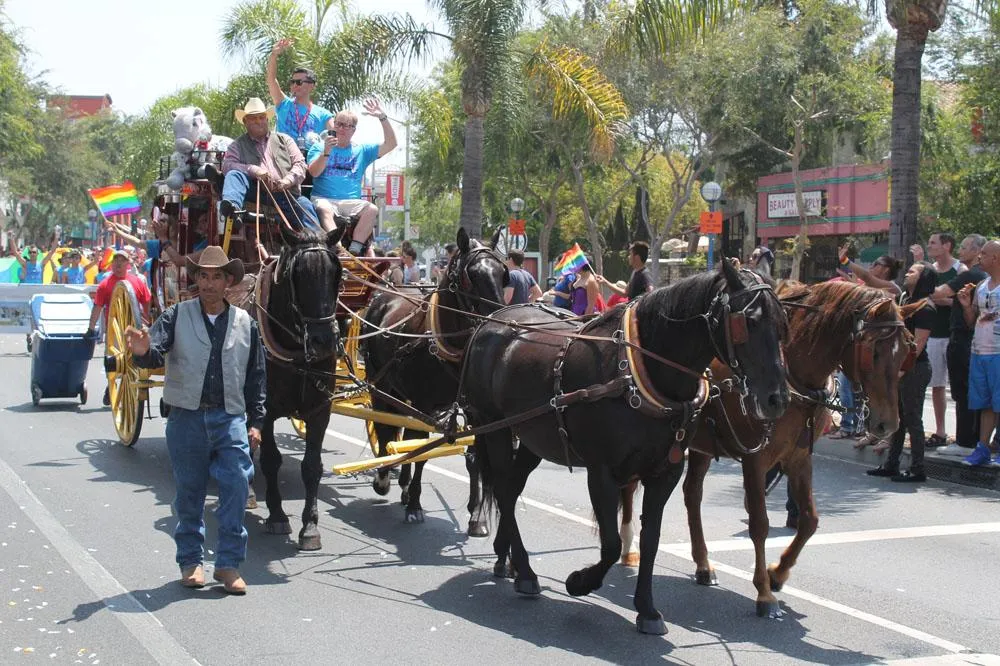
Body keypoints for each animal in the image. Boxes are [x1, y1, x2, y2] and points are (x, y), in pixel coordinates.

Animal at [252, 225, 345, 551]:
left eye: (337, 273)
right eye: (297, 275)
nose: (324, 341)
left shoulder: (320, 410)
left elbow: (312, 466)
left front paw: (310, 525)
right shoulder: (265, 411)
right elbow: (271, 460)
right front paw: (277, 514)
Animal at [363, 227, 508, 530]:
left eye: (504, 273)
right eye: (471, 275)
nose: (499, 319)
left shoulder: (475, 409)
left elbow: (475, 455)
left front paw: (477, 514)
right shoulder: (423, 402)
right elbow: (420, 450)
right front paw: (415, 505)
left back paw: (403, 484)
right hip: (381, 385)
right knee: (384, 429)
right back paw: (384, 476)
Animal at [462, 259, 790, 635]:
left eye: (783, 324)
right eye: (747, 321)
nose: (777, 399)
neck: (642, 371)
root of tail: (491, 320)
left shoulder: (665, 472)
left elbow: (650, 541)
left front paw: (647, 609)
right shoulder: (602, 472)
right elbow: (610, 544)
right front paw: (580, 581)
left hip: (532, 437)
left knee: (513, 488)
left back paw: (507, 559)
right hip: (494, 426)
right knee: (502, 487)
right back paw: (526, 571)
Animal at [675, 279, 916, 618]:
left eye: (907, 351)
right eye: (876, 351)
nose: (887, 424)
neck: (792, 377)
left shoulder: (798, 459)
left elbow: (810, 520)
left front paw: (778, 574)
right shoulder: (755, 459)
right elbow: (760, 524)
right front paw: (764, 593)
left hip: (701, 446)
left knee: (692, 494)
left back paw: (702, 564)